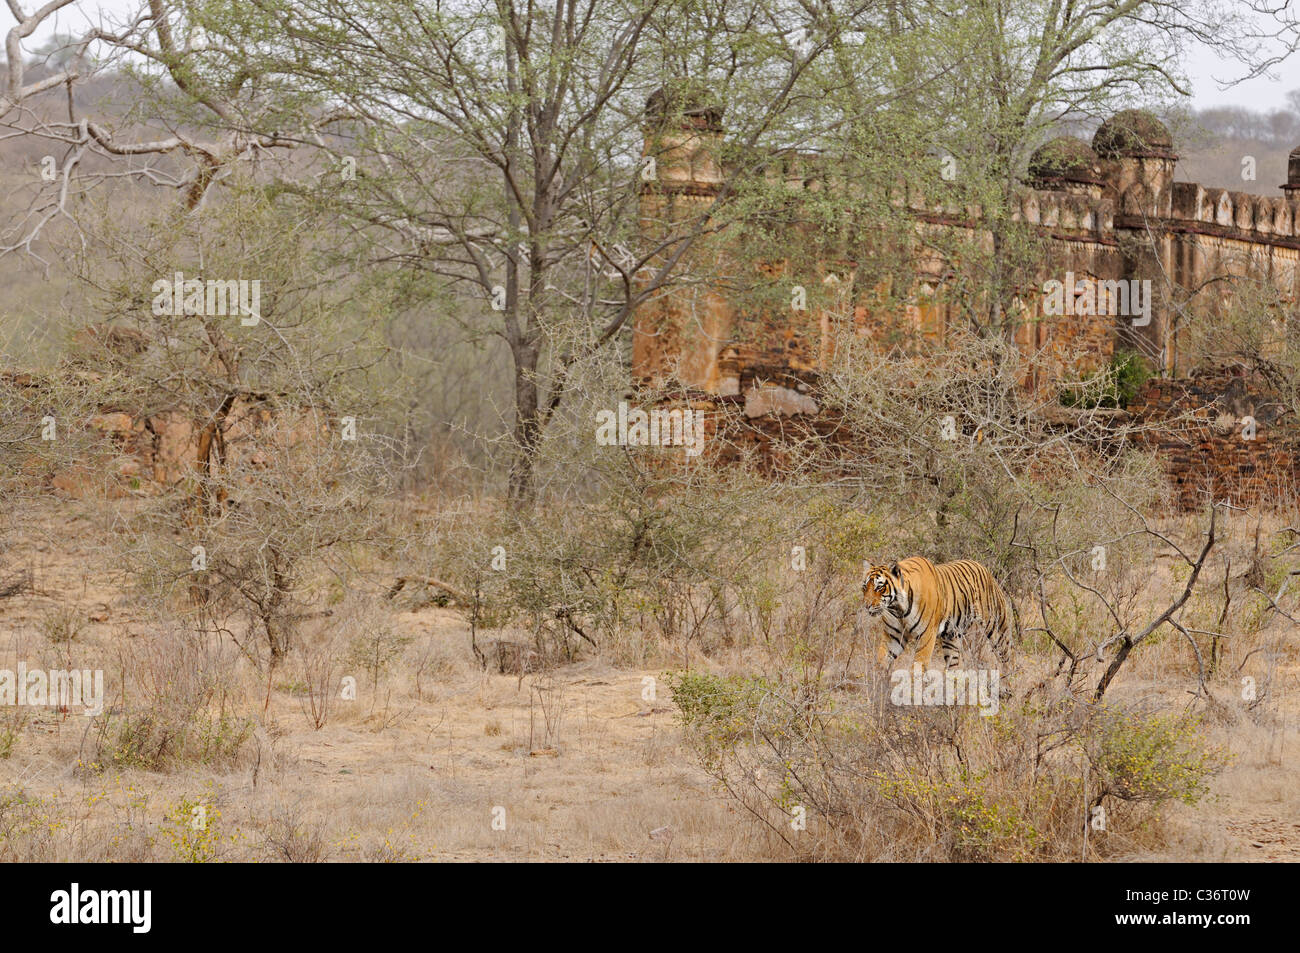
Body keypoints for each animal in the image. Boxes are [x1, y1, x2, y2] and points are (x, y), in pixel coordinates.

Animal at [863, 553, 1013, 670]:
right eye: (865, 587)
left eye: (879, 587)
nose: (866, 605)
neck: (898, 608)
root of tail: (981, 566)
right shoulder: (893, 636)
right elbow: (881, 661)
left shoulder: (926, 636)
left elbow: (917, 668)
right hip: (952, 637)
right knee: (955, 667)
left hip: (996, 628)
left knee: (1007, 659)